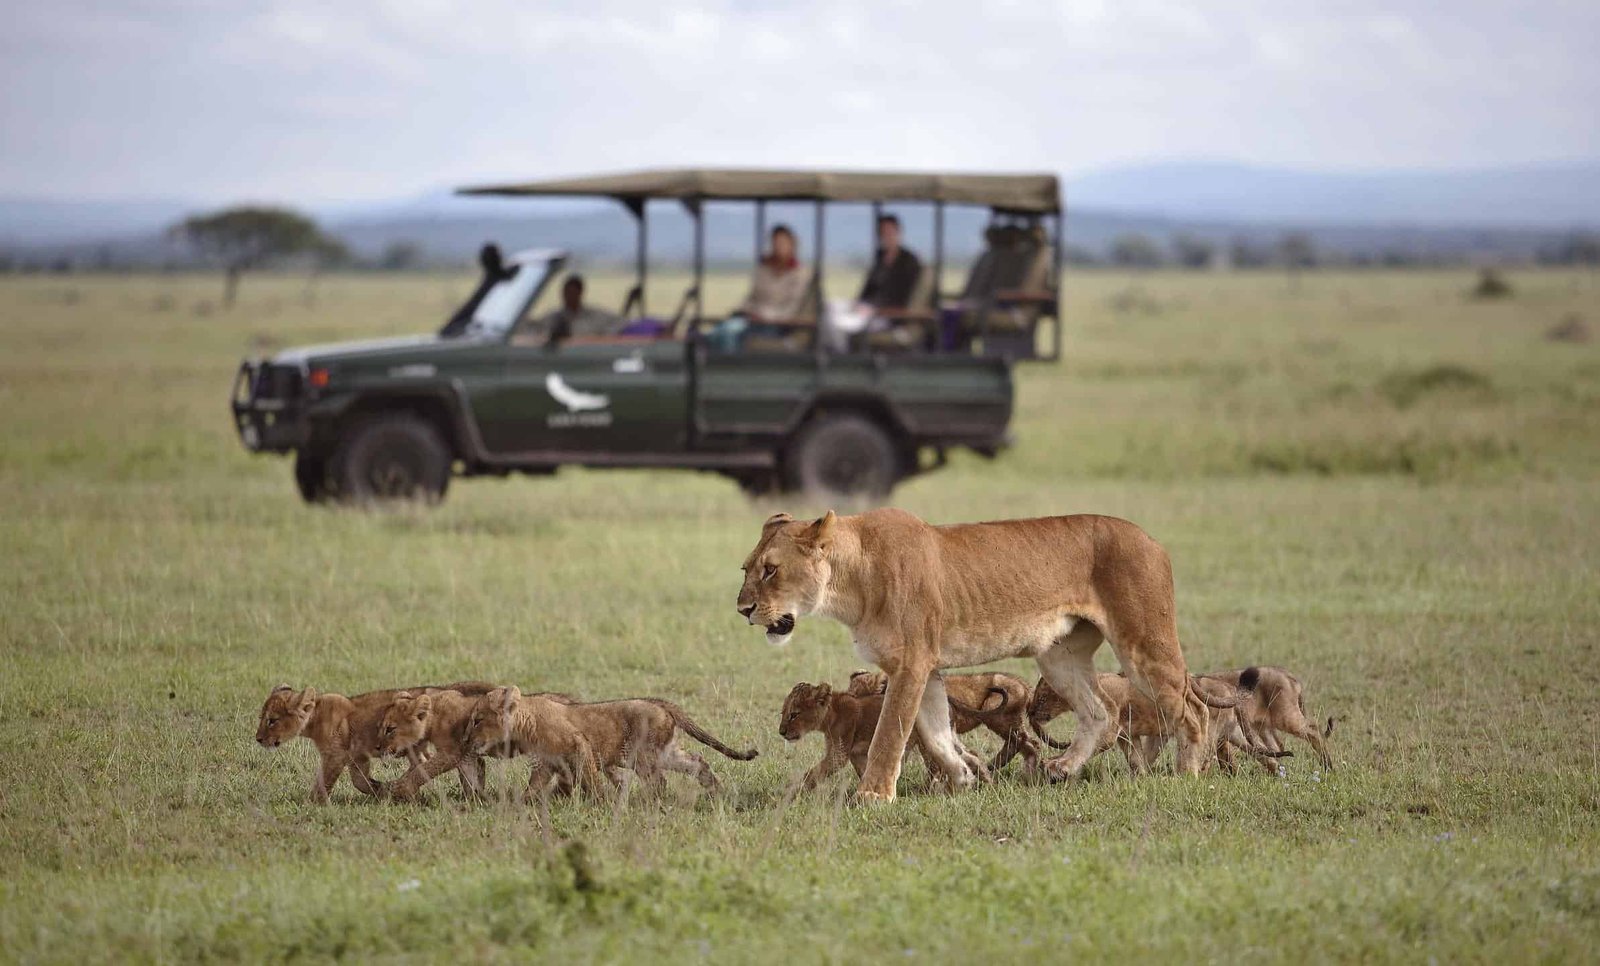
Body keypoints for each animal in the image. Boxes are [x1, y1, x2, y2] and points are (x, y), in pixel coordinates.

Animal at [254, 681, 495, 802]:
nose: (258, 739)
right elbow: (359, 782)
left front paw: (312, 803)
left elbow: (324, 782)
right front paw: (381, 789)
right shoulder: (356, 757)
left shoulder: (335, 756)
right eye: (261, 718)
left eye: (272, 720)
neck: (315, 717)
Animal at [465, 686, 758, 802]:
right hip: (666, 752)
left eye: (478, 720)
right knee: (697, 762)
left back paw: (647, 804)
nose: (467, 740)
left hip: (643, 755)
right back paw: (716, 790)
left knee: (659, 781)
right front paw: (527, 802)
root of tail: (661, 704)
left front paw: (600, 802)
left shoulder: (579, 745)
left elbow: (590, 779)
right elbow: (535, 787)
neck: (525, 723)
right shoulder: (546, 764)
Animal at [847, 669, 1042, 775]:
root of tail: (1024, 685)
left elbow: (931, 762)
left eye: (855, 698)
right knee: (1024, 744)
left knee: (1027, 742)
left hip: (996, 712)